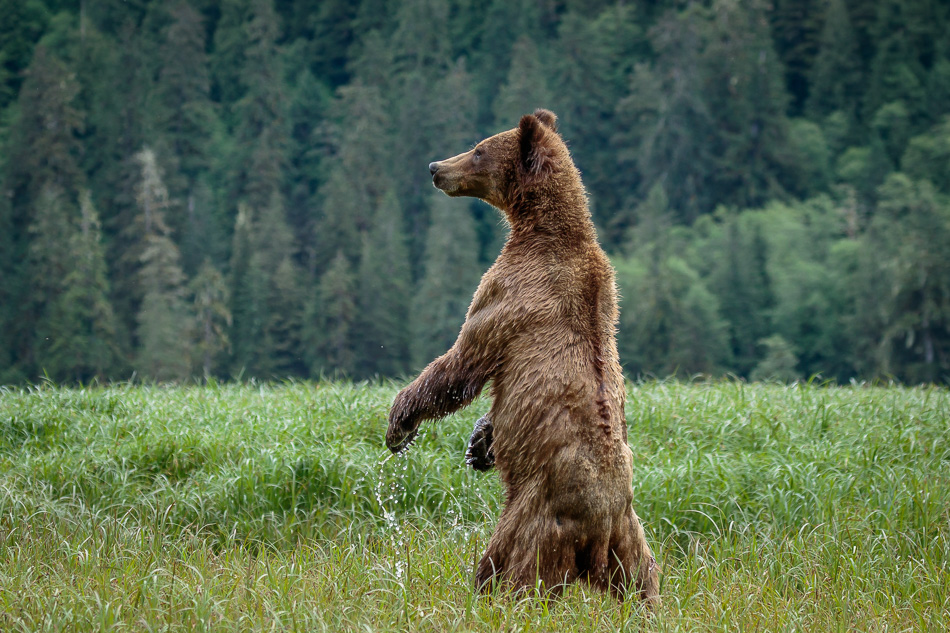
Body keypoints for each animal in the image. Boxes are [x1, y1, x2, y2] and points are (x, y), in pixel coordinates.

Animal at [386, 109, 659, 605]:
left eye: (478, 149)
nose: (435, 167)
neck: (542, 229)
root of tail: (598, 524)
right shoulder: (607, 297)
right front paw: (479, 443)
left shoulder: (511, 289)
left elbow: (463, 362)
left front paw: (401, 423)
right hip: (630, 536)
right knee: (644, 578)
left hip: (535, 515)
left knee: (507, 563)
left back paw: (489, 597)